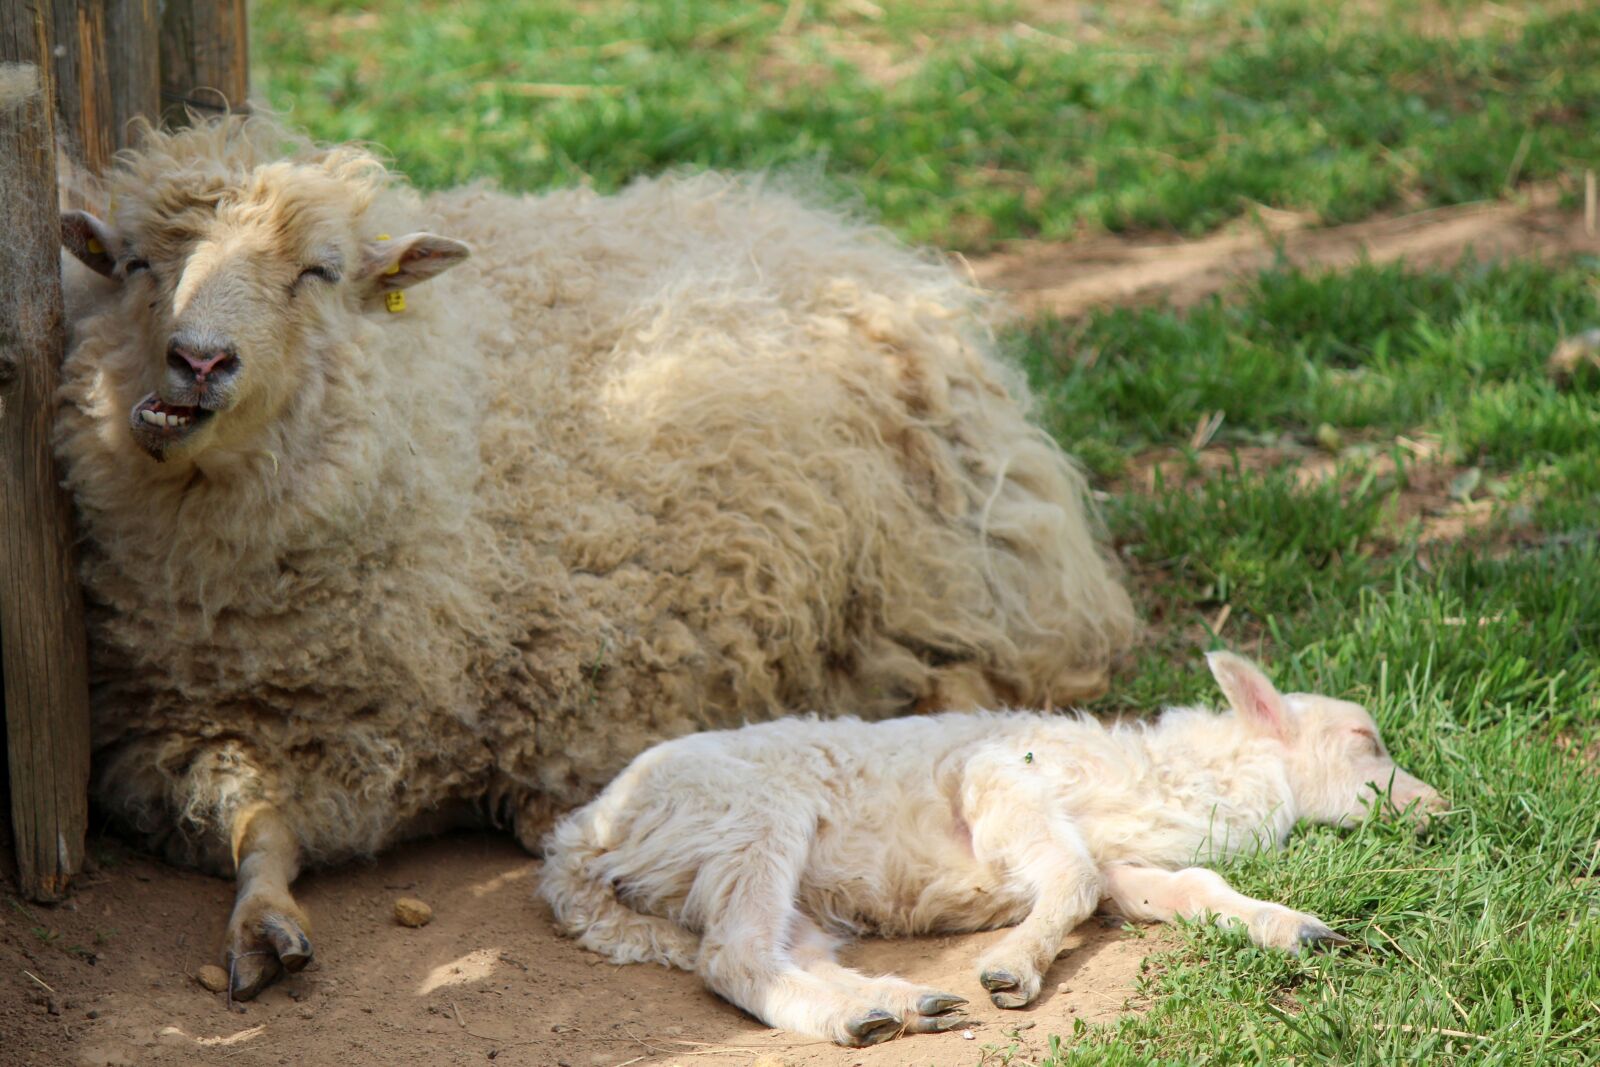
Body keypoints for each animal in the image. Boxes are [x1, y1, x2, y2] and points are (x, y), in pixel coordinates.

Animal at [51, 113, 1136, 1000]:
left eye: (316, 270)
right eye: (135, 263)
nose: (197, 361)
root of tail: (828, 231)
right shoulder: (174, 731)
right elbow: (254, 823)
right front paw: (264, 921)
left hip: (950, 584)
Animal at [540, 652, 1445, 1047]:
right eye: (1364, 740)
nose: (1439, 809)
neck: (1177, 776)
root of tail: (576, 839)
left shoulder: (1121, 858)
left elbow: (1183, 885)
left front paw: (1293, 927)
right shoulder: (998, 778)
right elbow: (1072, 879)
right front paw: (1013, 968)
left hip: (779, 884)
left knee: (777, 951)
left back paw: (897, 1005)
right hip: (752, 818)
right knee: (732, 958)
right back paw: (865, 1014)